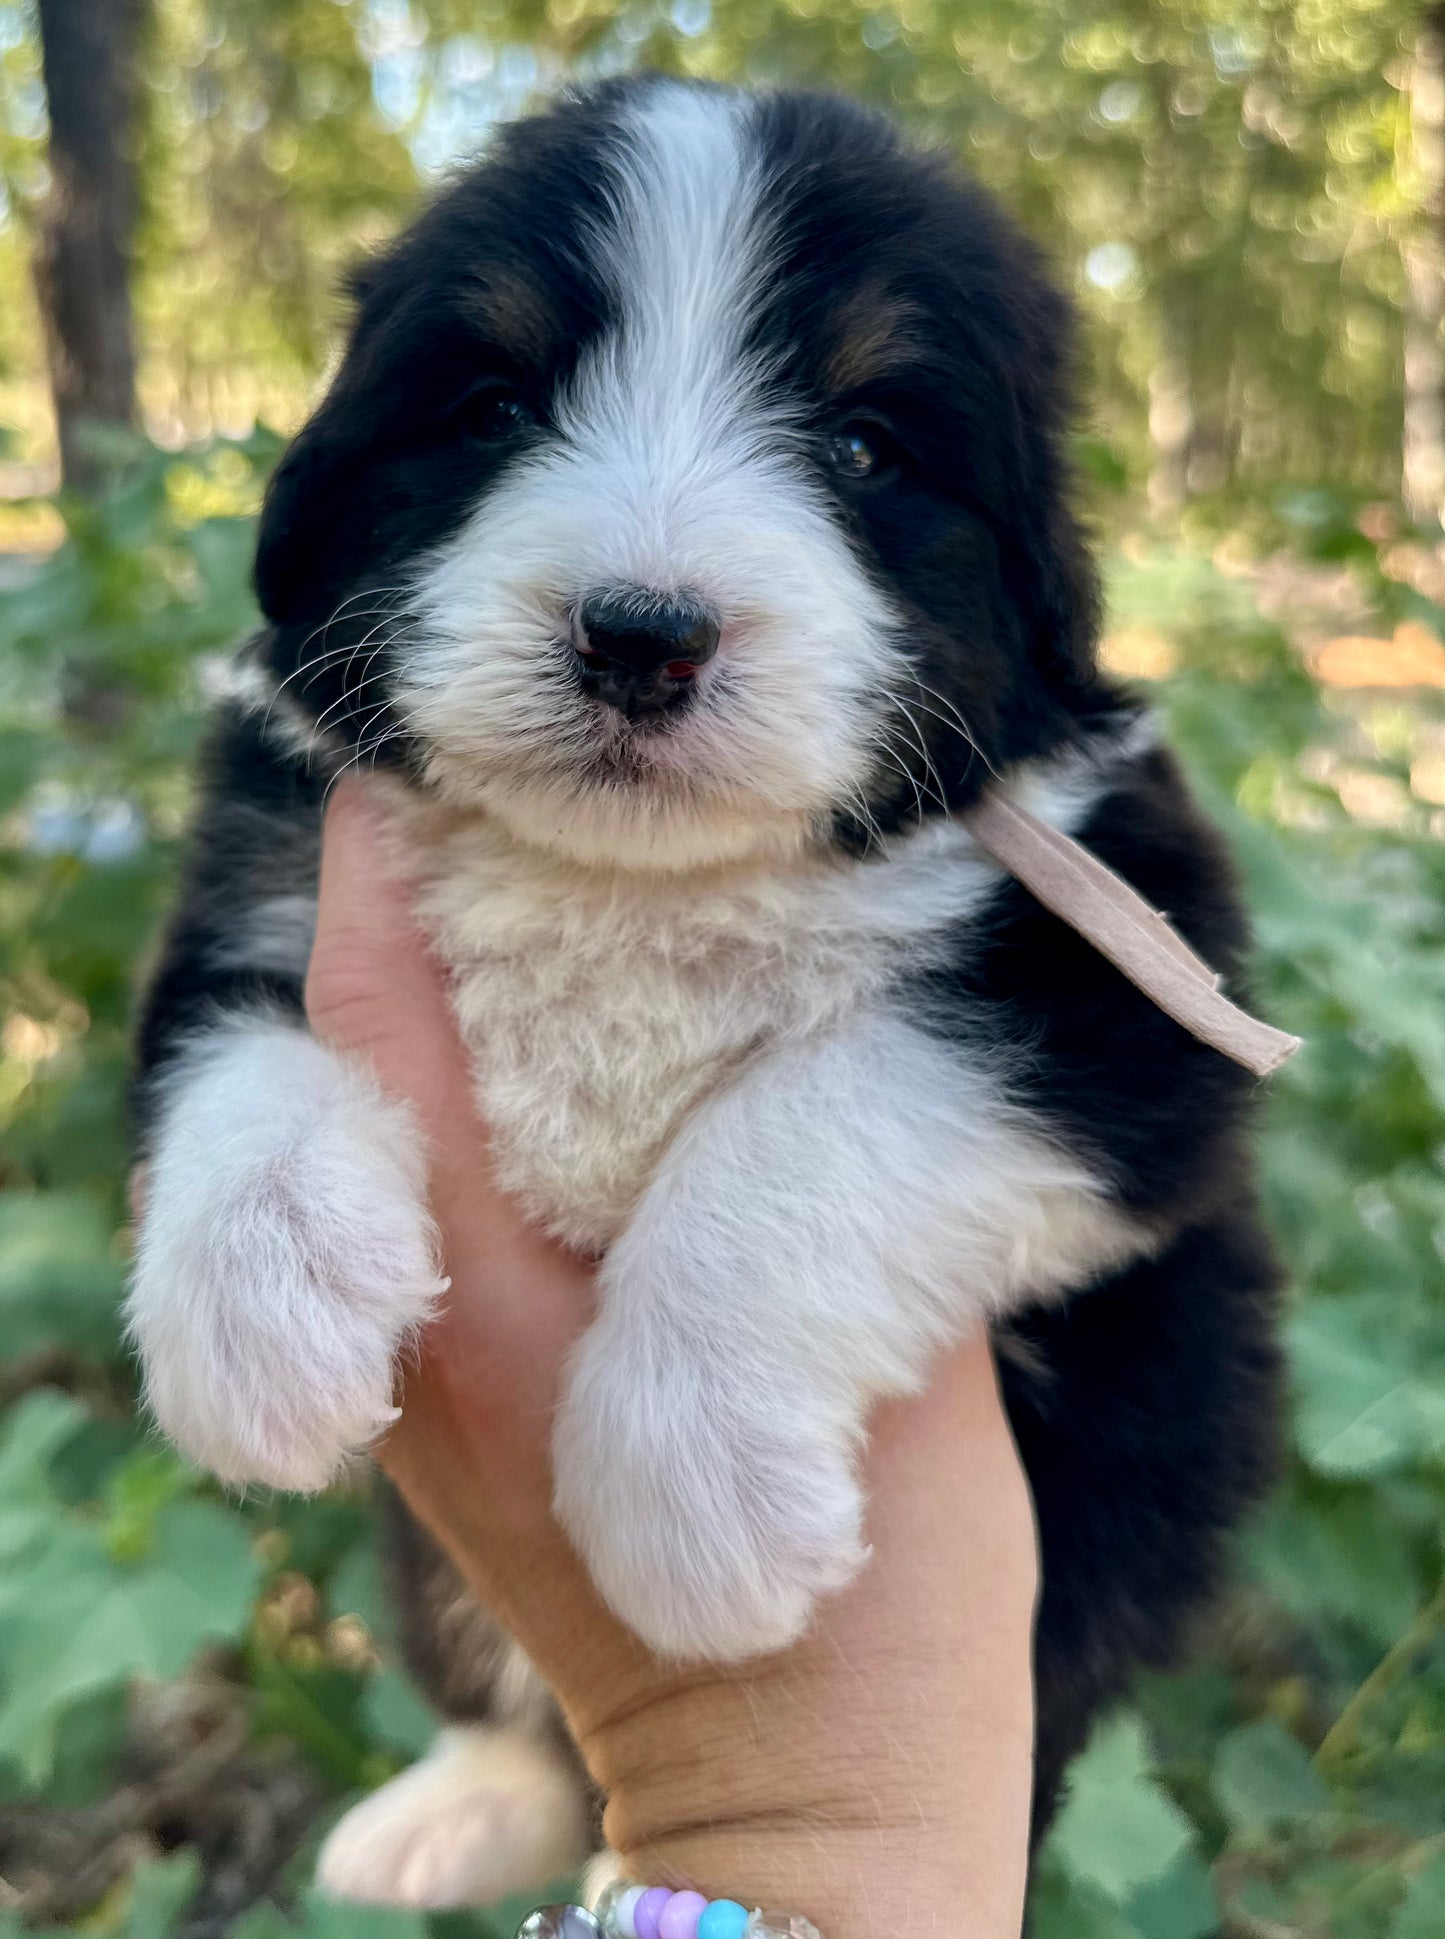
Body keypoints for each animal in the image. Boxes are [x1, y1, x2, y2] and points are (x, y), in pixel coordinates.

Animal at [129, 79, 1280, 1907]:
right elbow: (236, 1049)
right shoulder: (269, 863)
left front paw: (697, 1499)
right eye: (493, 406)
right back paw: (441, 1814)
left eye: (866, 447)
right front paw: (260, 1311)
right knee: (503, 1706)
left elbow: (821, 1120)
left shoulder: (1139, 993)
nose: (641, 633)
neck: (632, 885)